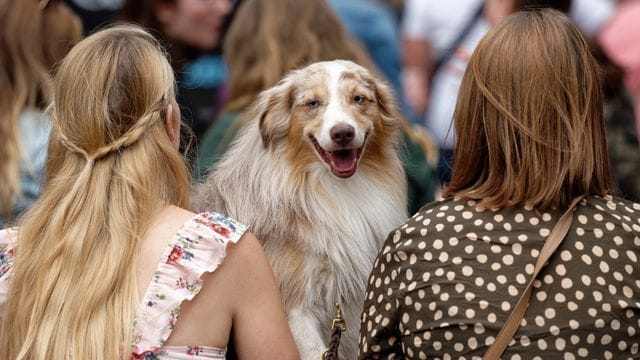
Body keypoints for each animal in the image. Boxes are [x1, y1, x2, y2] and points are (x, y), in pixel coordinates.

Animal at [192, 60, 408, 358]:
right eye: (312, 103)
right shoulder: (294, 311)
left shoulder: (350, 310)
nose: (342, 133)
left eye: (359, 99)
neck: (332, 188)